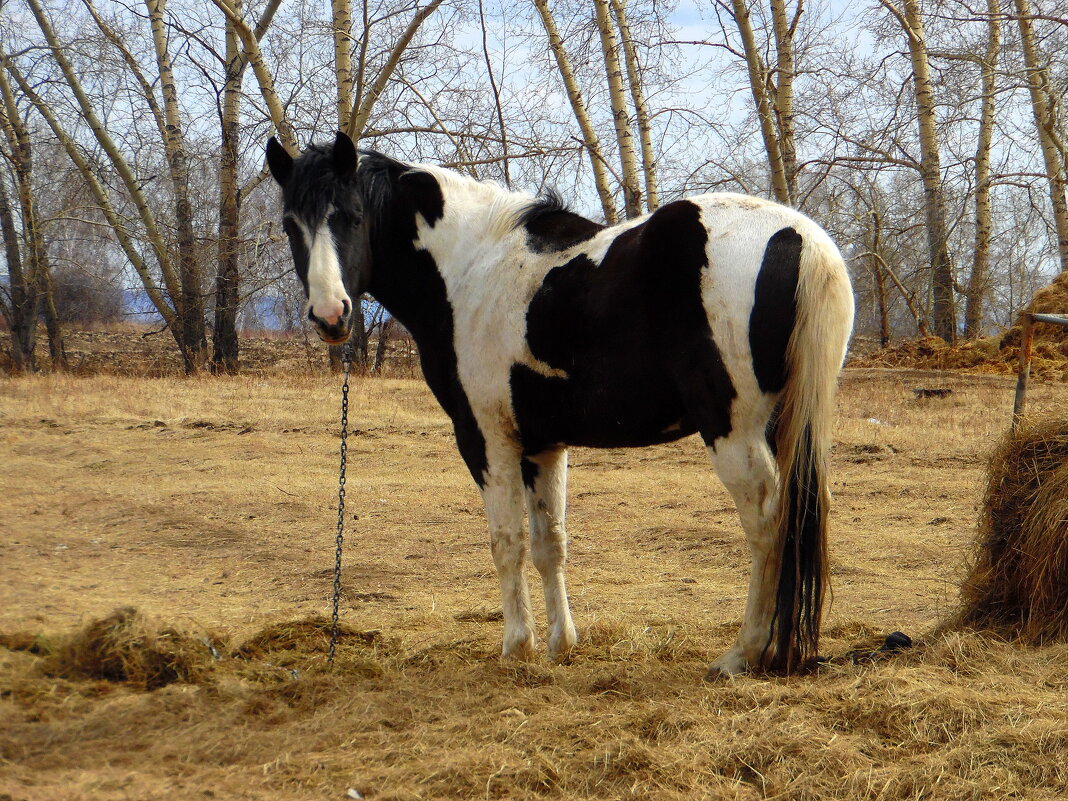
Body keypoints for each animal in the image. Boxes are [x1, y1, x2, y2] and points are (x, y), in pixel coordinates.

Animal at [269, 131, 858, 679]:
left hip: (735, 433)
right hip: (787, 425)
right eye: (290, 225)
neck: (469, 268)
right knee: (806, 507)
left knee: (767, 520)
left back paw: (744, 653)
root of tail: (801, 238)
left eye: (352, 217)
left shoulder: (486, 440)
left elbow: (507, 541)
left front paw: (517, 647)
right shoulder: (544, 446)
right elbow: (549, 542)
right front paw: (560, 644)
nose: (331, 315)